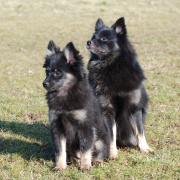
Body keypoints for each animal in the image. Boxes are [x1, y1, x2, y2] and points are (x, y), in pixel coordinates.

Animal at [42, 40, 109, 170]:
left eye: (57, 72)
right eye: (47, 71)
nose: (44, 83)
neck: (66, 93)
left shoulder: (85, 126)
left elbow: (85, 149)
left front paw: (85, 166)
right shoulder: (57, 126)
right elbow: (60, 150)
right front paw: (60, 167)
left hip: (100, 140)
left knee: (98, 153)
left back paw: (97, 161)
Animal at [86, 16, 154, 158]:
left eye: (104, 39)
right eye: (93, 37)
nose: (88, 42)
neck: (112, 67)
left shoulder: (135, 108)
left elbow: (140, 131)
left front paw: (145, 148)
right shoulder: (107, 109)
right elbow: (111, 135)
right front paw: (112, 153)